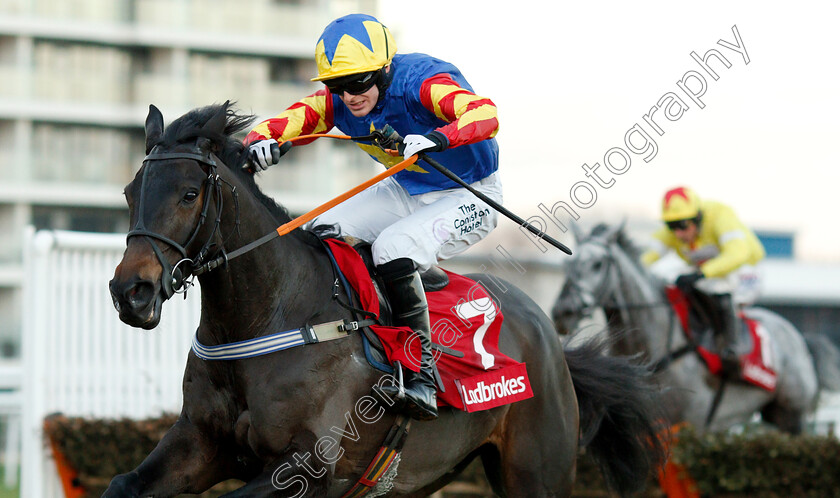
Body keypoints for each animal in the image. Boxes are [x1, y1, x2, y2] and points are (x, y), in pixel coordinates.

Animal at [106, 103, 664, 496]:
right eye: (130, 192)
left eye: (188, 194)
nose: (130, 292)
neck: (267, 316)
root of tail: (548, 333)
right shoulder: (198, 442)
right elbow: (122, 483)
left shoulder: (307, 467)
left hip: (537, 471)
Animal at [552, 224, 840, 434]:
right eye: (566, 264)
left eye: (598, 264)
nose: (562, 312)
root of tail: (800, 338)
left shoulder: (689, 422)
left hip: (792, 415)